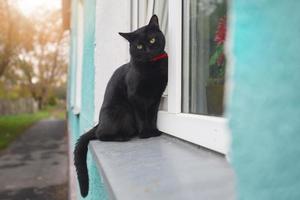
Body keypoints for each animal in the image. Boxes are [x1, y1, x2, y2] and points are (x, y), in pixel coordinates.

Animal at [73, 15, 168, 197]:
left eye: (152, 40)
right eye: (139, 46)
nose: (147, 50)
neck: (151, 67)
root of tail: (98, 124)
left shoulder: (156, 97)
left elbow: (152, 116)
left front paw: (154, 131)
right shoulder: (135, 97)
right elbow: (142, 117)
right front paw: (145, 134)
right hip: (121, 111)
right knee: (101, 135)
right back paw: (122, 137)